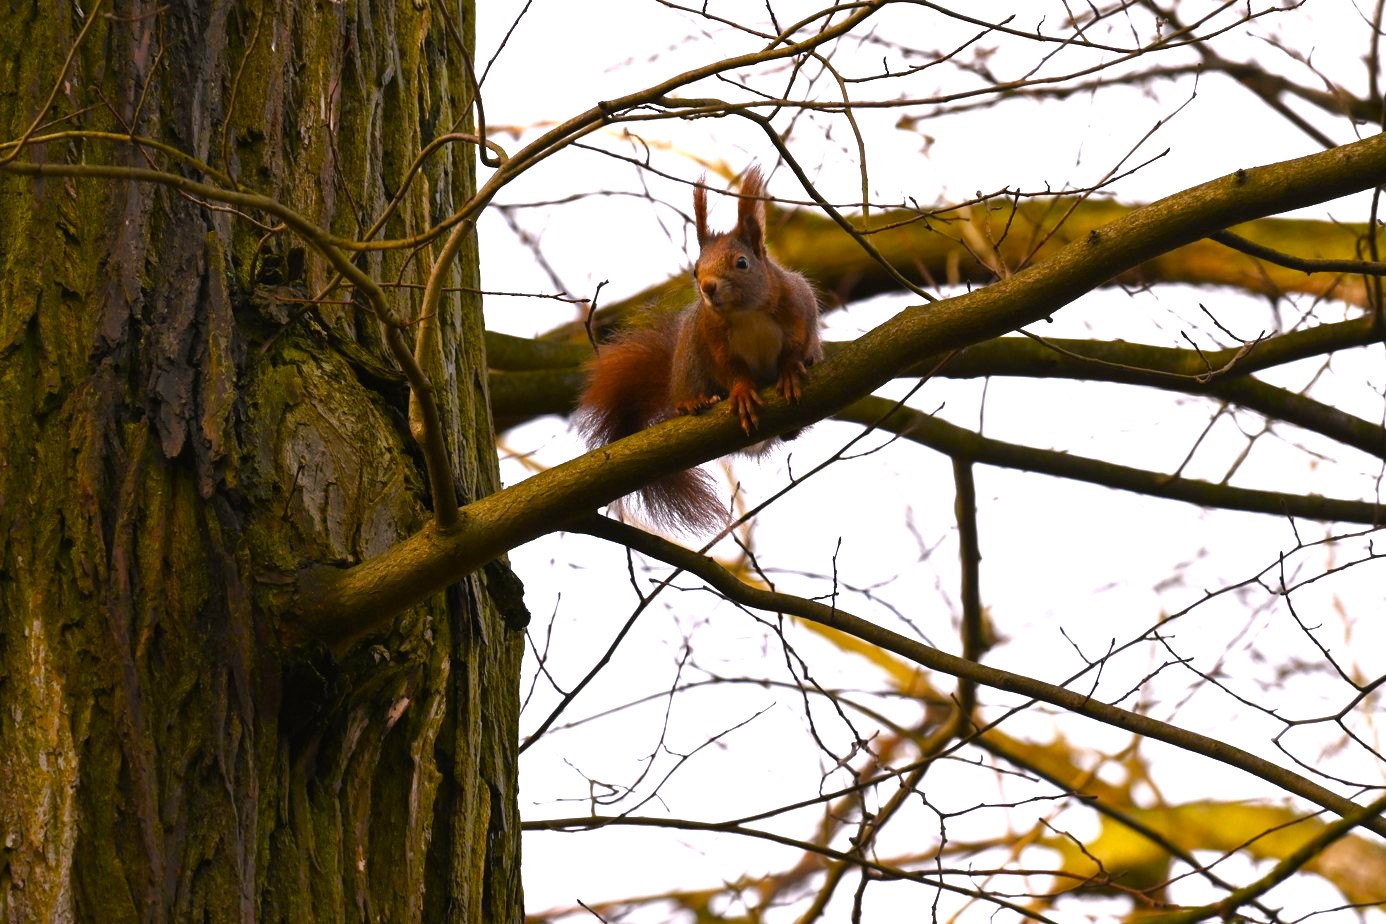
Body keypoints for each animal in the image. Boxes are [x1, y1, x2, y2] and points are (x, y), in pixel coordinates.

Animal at [573, 162, 820, 531]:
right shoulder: (713, 336)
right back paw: (694, 401)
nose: (707, 288)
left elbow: (793, 346)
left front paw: (790, 371)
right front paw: (742, 392)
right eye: (695, 269)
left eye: (742, 263)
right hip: (689, 353)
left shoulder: (797, 308)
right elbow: (731, 367)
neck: (746, 312)